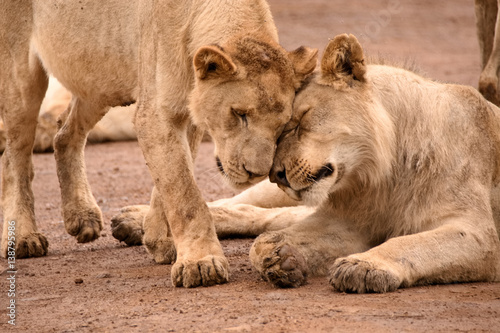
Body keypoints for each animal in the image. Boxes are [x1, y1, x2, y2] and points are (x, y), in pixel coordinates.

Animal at [0, 0, 316, 288]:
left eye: (284, 126)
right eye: (239, 114)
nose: (256, 173)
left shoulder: (187, 113)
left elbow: (171, 181)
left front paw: (158, 239)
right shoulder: (156, 114)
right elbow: (184, 192)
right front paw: (200, 263)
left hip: (98, 78)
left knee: (65, 134)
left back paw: (82, 216)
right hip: (21, 74)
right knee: (15, 154)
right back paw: (23, 237)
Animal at [112, 34, 500, 294]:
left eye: (297, 122)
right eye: (282, 128)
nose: (276, 174)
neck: (380, 175)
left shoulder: (479, 234)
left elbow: (409, 244)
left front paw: (362, 266)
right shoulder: (346, 220)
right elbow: (260, 244)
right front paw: (282, 258)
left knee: (264, 216)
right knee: (235, 205)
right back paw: (135, 223)